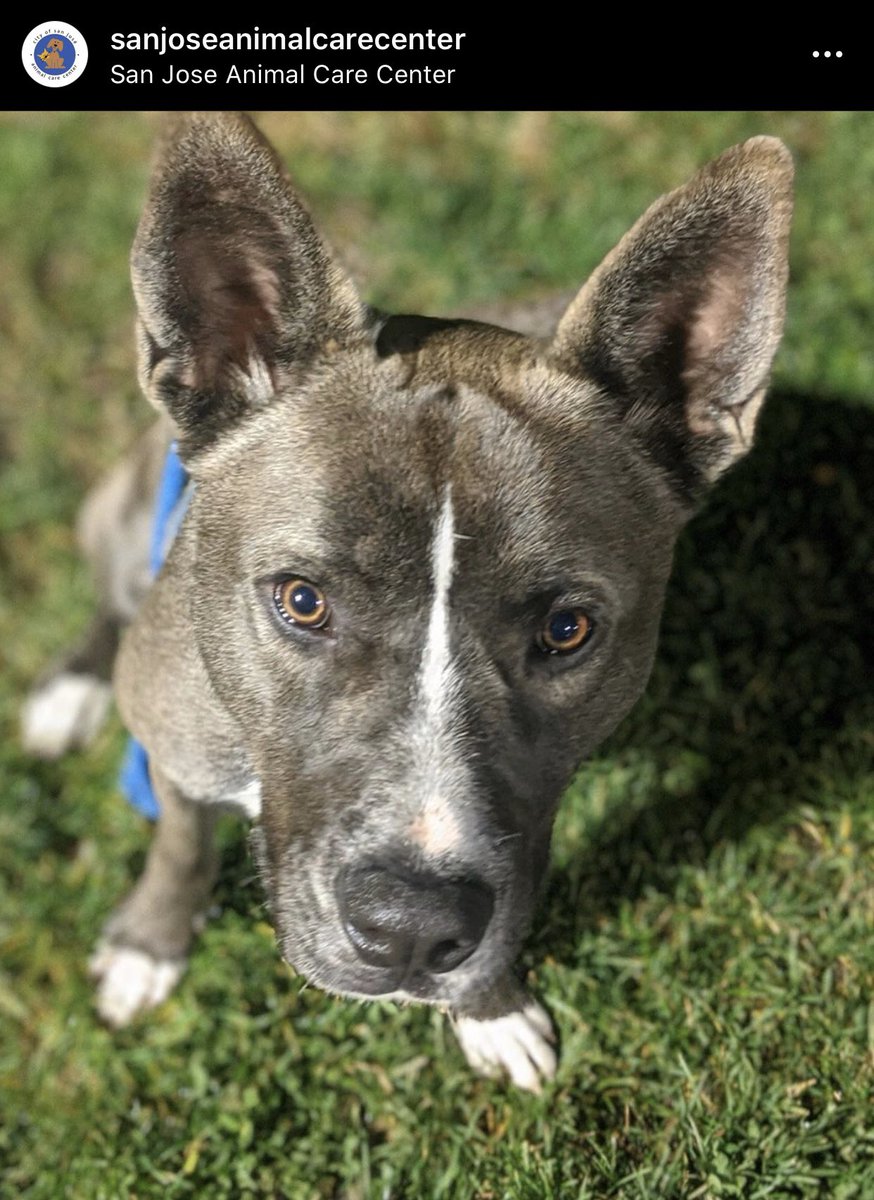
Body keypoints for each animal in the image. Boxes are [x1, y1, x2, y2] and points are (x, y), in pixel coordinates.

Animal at [21, 113, 793, 1093]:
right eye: (301, 601)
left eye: (567, 629)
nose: (414, 930)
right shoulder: (177, 744)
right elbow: (180, 845)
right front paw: (150, 943)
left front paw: (489, 1008)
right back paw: (71, 688)